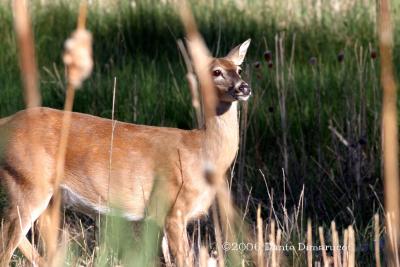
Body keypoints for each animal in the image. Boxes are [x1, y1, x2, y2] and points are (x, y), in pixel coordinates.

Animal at [0, 38, 250, 266]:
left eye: (239, 69)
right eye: (216, 71)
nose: (244, 87)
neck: (200, 150)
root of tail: (5, 121)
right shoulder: (172, 209)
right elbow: (184, 260)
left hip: (49, 194)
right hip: (27, 182)